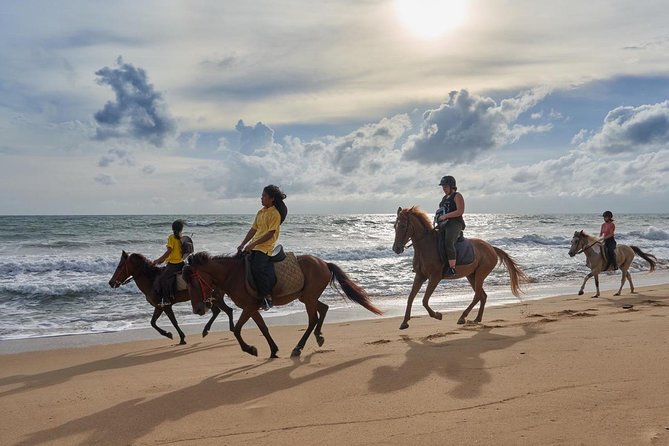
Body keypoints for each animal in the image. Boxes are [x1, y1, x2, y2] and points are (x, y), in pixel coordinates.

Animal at [107, 251, 235, 344]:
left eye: (120, 266)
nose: (111, 282)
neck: (152, 280)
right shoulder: (159, 307)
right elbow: (152, 322)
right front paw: (168, 334)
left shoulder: (166, 306)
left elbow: (173, 321)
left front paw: (181, 338)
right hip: (209, 299)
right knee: (220, 311)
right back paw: (209, 330)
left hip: (214, 297)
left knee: (226, 310)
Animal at [183, 251, 384, 358]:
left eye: (193, 282)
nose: (198, 309)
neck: (233, 274)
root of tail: (324, 263)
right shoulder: (253, 308)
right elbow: (263, 329)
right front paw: (273, 350)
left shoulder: (249, 307)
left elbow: (237, 330)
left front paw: (251, 349)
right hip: (307, 296)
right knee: (323, 309)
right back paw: (318, 337)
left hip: (309, 297)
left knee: (313, 319)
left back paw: (298, 347)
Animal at [392, 207, 528, 330]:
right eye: (394, 226)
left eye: (403, 226)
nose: (396, 249)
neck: (426, 247)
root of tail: (491, 248)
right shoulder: (420, 276)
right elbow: (410, 298)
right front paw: (404, 322)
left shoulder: (435, 277)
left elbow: (424, 300)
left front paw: (437, 315)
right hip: (471, 275)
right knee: (482, 296)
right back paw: (477, 318)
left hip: (480, 274)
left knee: (478, 295)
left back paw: (462, 317)